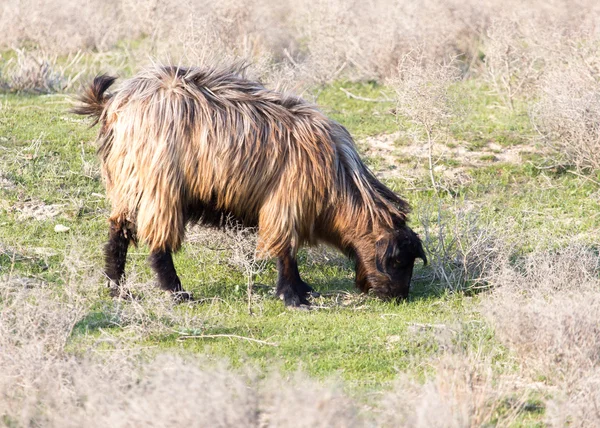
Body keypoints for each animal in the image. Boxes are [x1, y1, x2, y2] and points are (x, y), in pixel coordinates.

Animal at [74, 65, 426, 306]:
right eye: (397, 260)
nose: (397, 297)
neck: (337, 177)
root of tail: (114, 105)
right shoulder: (285, 203)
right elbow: (285, 251)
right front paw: (293, 296)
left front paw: (303, 290)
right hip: (158, 182)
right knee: (158, 240)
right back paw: (177, 292)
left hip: (128, 181)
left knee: (118, 230)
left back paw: (117, 288)